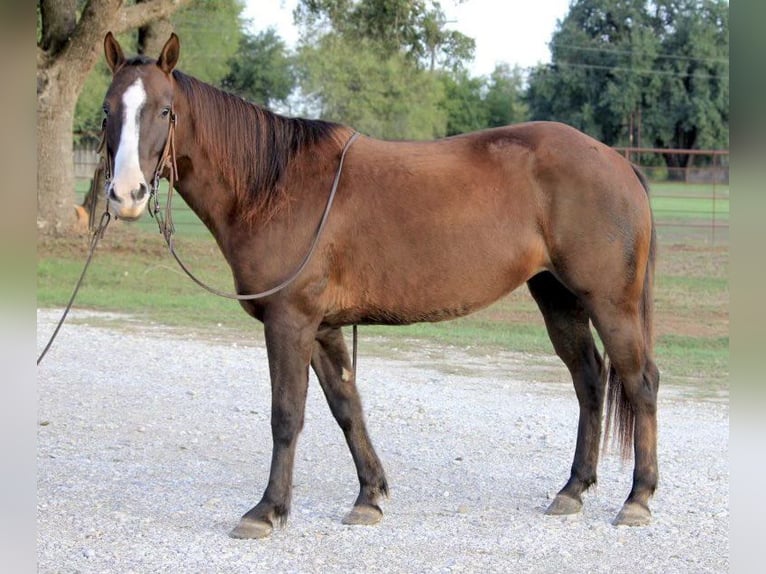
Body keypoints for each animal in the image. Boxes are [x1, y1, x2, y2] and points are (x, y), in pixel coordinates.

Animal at [100, 35, 660, 540]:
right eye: (107, 112)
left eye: (164, 110)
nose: (126, 194)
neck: (276, 187)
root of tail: (617, 160)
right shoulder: (321, 328)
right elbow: (347, 408)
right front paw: (369, 497)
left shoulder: (289, 322)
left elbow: (286, 415)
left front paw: (267, 511)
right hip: (558, 297)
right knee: (589, 380)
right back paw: (573, 490)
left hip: (609, 303)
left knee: (640, 383)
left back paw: (637, 498)